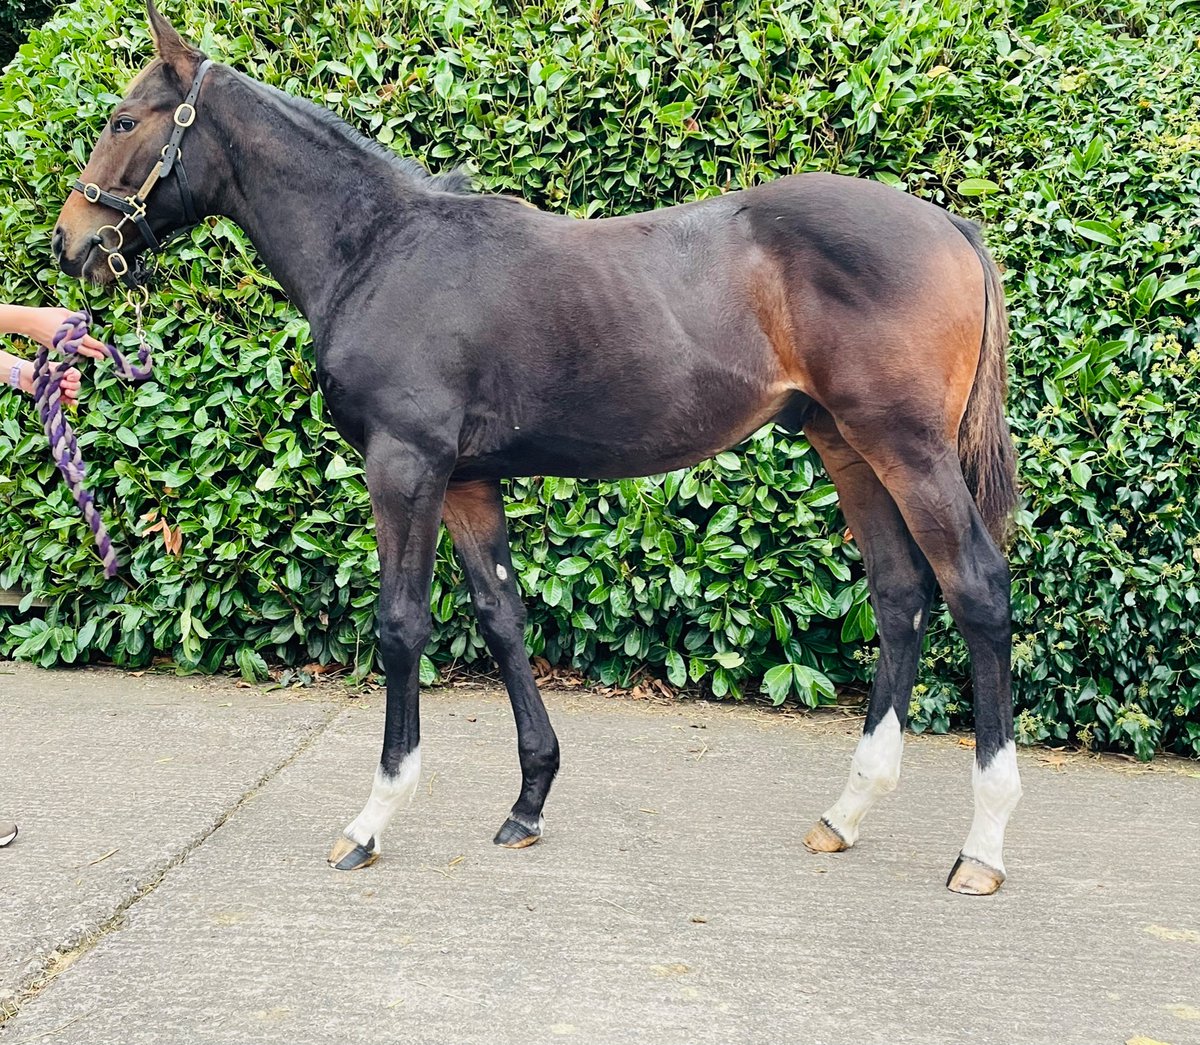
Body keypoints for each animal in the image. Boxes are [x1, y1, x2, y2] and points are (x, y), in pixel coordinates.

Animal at [52, 1, 1021, 894]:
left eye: (124, 121)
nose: (71, 243)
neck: (379, 248)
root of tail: (951, 228)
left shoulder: (404, 467)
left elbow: (401, 624)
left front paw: (371, 819)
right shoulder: (467, 481)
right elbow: (502, 616)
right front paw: (527, 802)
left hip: (908, 448)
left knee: (975, 586)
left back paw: (982, 845)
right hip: (847, 447)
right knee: (899, 595)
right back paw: (846, 812)